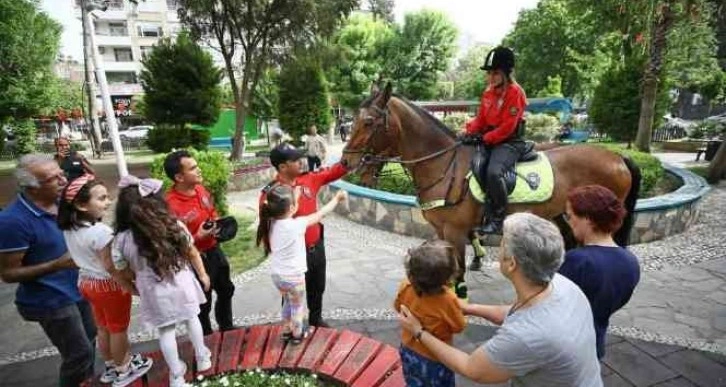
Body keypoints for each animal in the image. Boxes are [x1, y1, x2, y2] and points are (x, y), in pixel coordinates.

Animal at [342, 84, 644, 298]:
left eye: (369, 122)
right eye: (353, 119)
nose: (347, 162)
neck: (444, 164)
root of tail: (618, 157)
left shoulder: (455, 231)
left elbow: (459, 272)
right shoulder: (440, 230)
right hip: (563, 216)